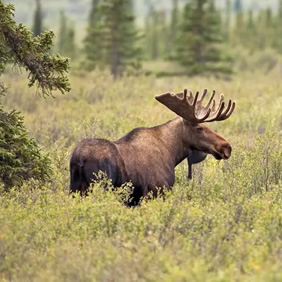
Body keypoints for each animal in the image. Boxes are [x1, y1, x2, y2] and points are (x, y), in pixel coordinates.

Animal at [70, 90, 236, 205]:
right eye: (199, 128)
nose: (226, 147)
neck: (172, 153)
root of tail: (80, 159)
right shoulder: (159, 190)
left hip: (75, 188)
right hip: (100, 186)